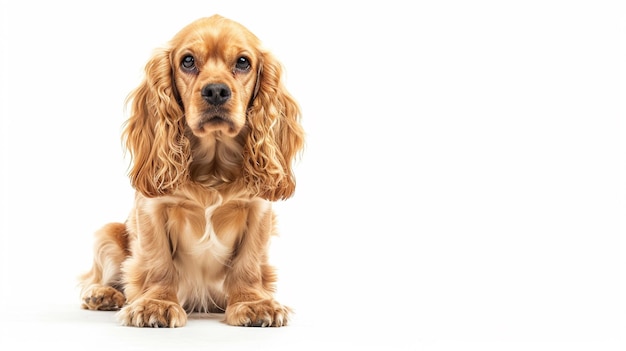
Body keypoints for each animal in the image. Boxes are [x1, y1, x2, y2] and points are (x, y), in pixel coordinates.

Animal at [79, 15, 304, 328]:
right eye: (187, 61)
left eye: (243, 62)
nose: (216, 91)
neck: (213, 166)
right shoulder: (151, 209)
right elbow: (158, 261)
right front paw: (157, 304)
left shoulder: (258, 211)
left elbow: (248, 264)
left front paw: (254, 304)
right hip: (108, 233)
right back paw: (103, 294)